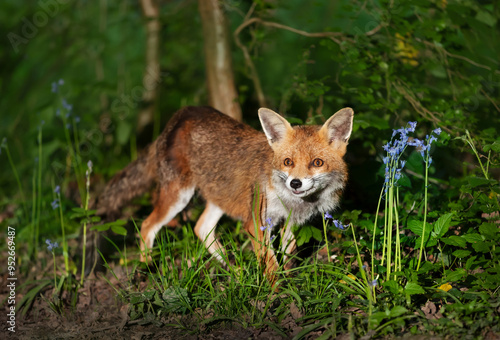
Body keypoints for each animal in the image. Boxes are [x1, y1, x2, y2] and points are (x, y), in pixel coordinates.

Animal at [96, 105, 352, 278]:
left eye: (317, 163)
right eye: (288, 162)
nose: (295, 183)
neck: (292, 202)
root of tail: (180, 115)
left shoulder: (291, 223)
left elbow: (289, 254)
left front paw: (289, 281)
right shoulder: (256, 221)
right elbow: (270, 263)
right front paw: (276, 293)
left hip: (220, 196)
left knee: (201, 228)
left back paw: (234, 270)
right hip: (179, 196)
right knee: (147, 225)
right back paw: (146, 268)